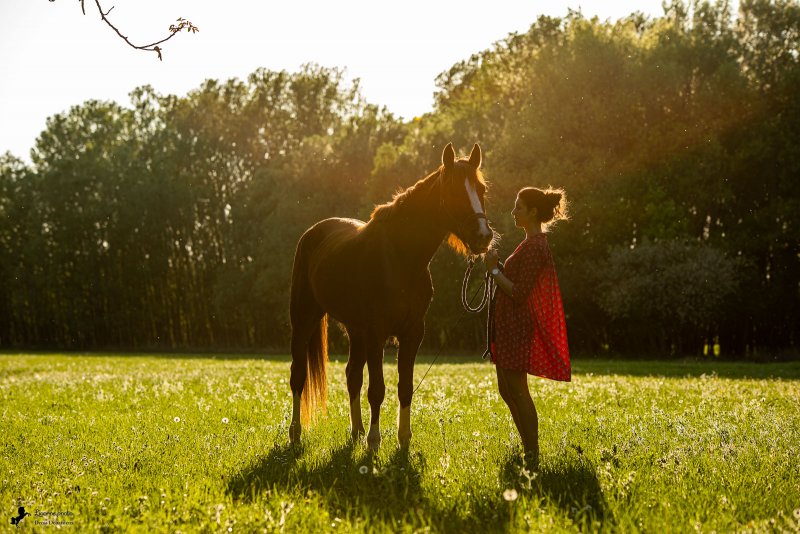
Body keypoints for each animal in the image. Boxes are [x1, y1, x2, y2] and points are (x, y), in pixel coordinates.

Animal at [288, 143, 493, 451]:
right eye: (455, 190)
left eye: (481, 189)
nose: (483, 236)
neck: (400, 257)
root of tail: (313, 233)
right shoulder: (377, 332)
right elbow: (377, 389)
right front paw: (375, 441)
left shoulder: (412, 333)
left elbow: (404, 387)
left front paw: (403, 439)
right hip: (304, 320)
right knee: (298, 376)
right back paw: (296, 433)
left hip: (355, 331)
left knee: (352, 375)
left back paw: (356, 431)